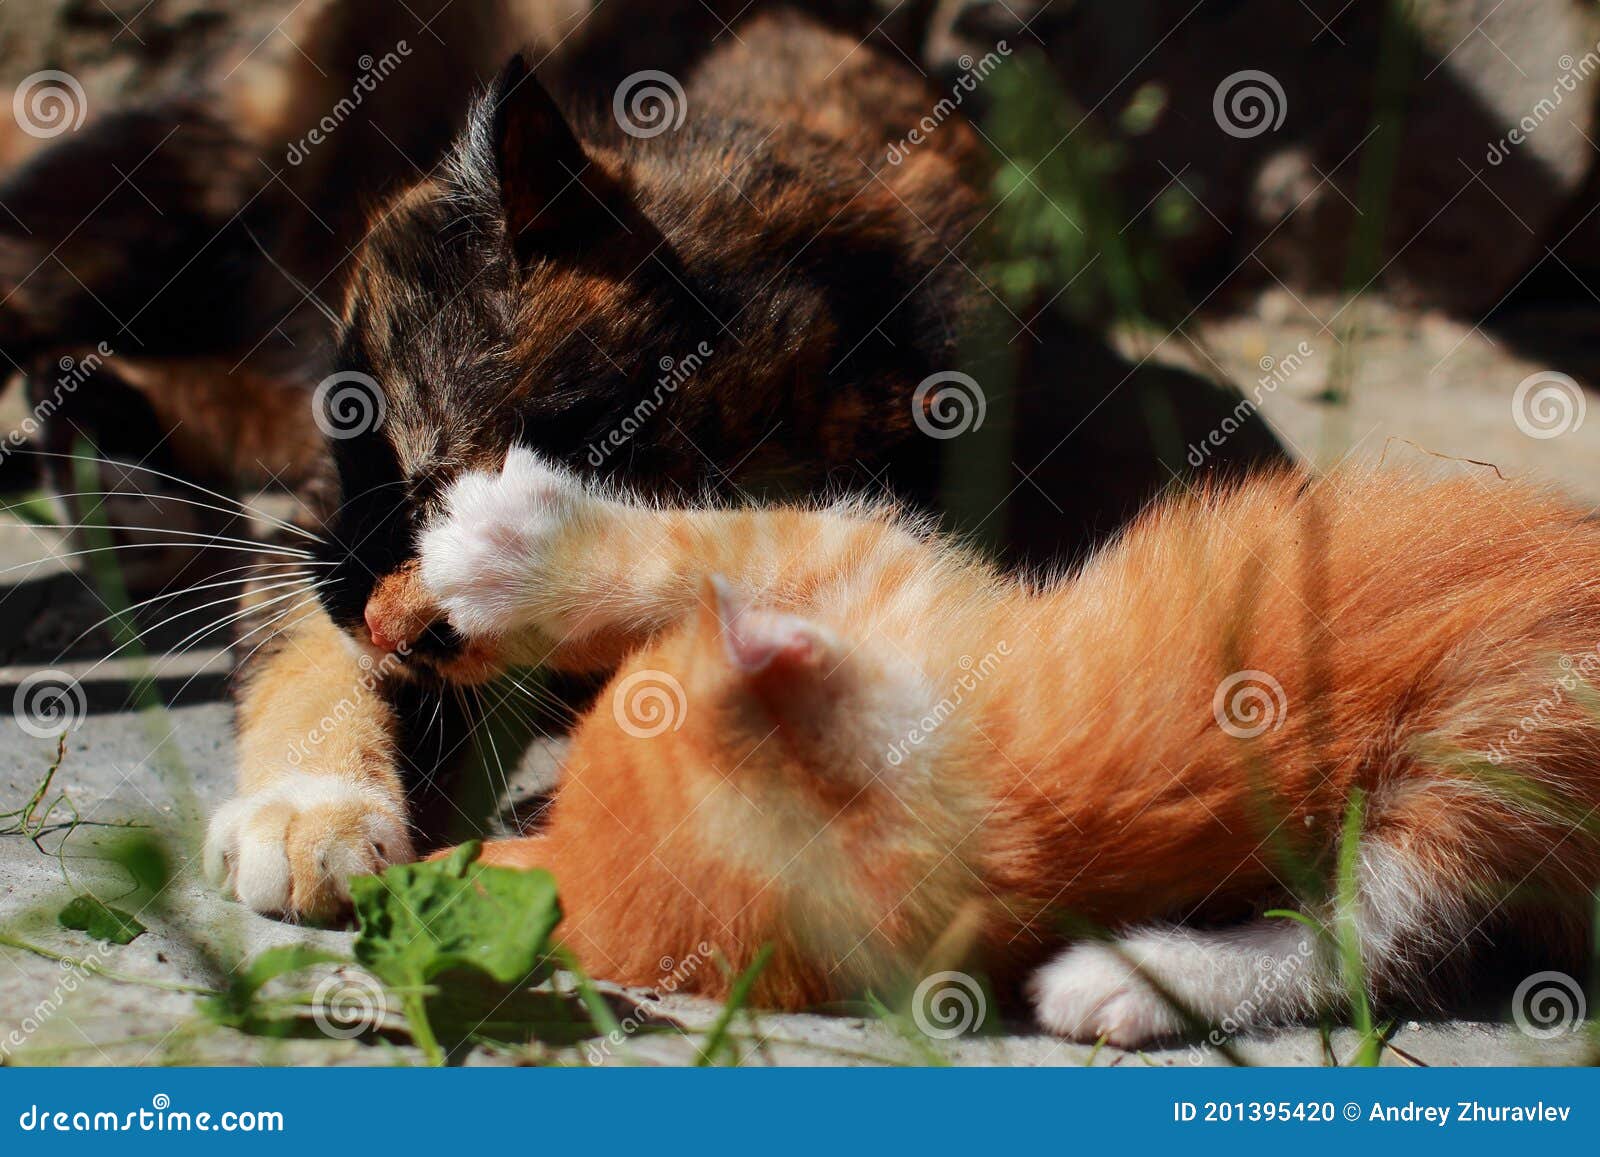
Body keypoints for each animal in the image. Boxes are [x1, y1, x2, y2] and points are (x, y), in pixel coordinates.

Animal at [366, 448, 1600, 1043]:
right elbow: (743, 543)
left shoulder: (903, 583)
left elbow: (732, 543)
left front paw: (511, 553)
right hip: (1492, 755)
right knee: (1378, 930)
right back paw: (1129, 981)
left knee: (1383, 925)